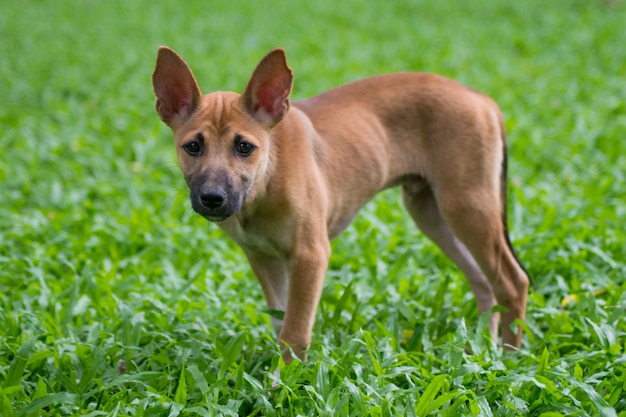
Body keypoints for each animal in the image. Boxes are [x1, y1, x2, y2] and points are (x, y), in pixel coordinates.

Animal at [151, 46, 528, 360]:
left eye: (244, 147)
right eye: (193, 147)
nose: (212, 199)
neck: (267, 181)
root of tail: (482, 99)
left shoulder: (310, 255)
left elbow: (294, 332)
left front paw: (282, 389)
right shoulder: (263, 259)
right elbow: (280, 321)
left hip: (467, 206)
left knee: (512, 282)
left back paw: (509, 360)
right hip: (431, 212)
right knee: (483, 281)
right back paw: (479, 347)